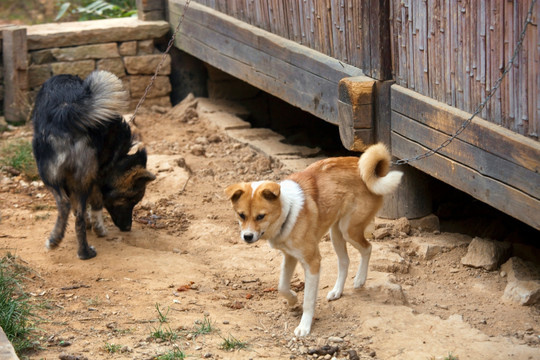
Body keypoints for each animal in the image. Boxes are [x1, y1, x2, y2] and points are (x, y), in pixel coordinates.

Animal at [31, 70, 155, 258]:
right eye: (131, 200)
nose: (127, 228)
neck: (117, 159)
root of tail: (67, 111)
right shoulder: (96, 177)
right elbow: (92, 205)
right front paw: (97, 227)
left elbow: (91, 205)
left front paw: (97, 228)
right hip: (72, 176)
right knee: (76, 212)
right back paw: (78, 248)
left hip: (52, 174)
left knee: (66, 206)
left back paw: (67, 245)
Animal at [224, 143, 400, 338]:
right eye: (241, 215)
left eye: (261, 216)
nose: (247, 237)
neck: (288, 212)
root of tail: (365, 169)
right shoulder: (289, 256)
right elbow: (282, 286)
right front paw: (293, 299)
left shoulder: (313, 262)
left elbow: (308, 300)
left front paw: (304, 326)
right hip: (336, 233)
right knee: (344, 261)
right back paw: (337, 291)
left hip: (349, 230)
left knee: (367, 248)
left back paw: (360, 279)